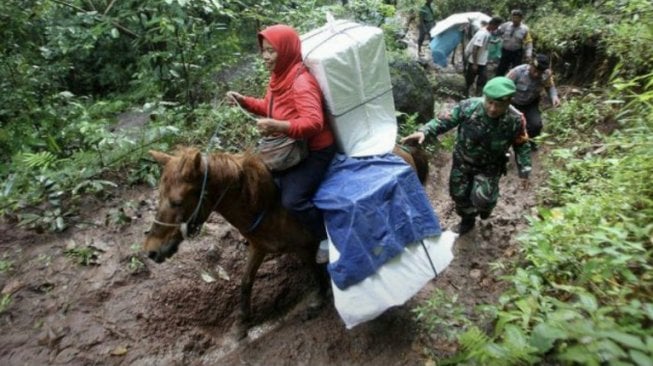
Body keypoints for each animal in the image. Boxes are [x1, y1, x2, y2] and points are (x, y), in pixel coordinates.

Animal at [143, 143, 428, 338]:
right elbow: (245, 282)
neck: (264, 204)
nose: (151, 251)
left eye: (177, 201)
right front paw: (241, 323)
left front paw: (317, 299)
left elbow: (313, 270)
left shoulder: (303, 246)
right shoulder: (259, 247)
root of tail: (402, 150)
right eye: (159, 197)